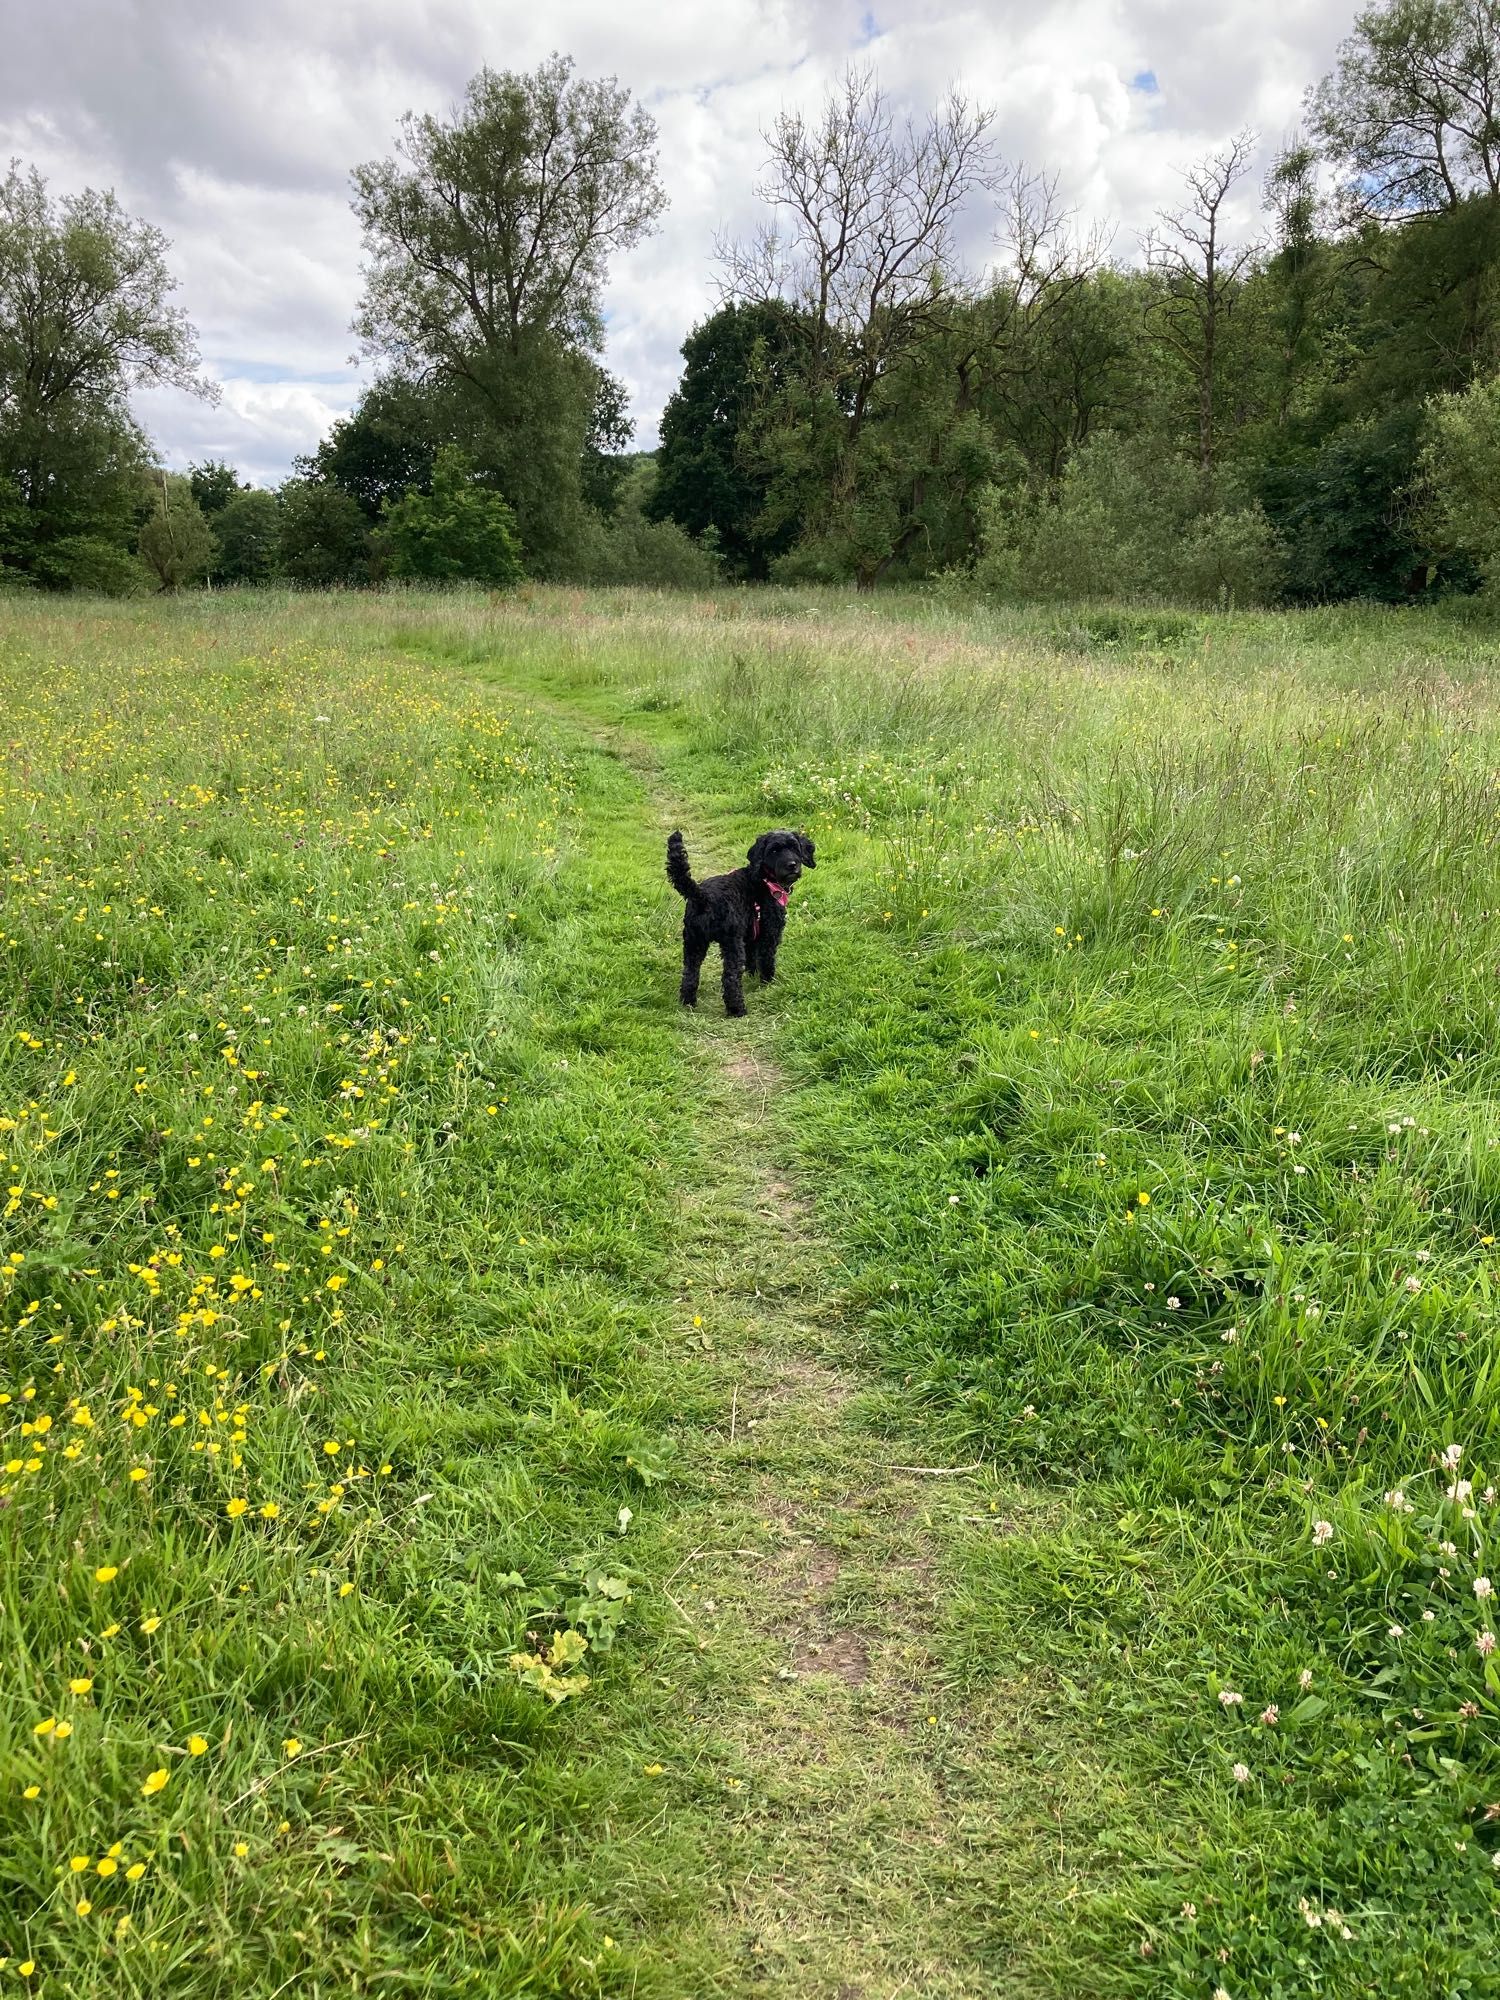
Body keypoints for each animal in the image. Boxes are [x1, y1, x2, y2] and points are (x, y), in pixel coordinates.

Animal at [664, 828, 816, 1016]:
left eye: (794, 847)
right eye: (774, 851)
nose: (792, 865)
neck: (763, 879)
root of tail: (703, 896)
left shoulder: (750, 936)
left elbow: (752, 959)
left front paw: (752, 975)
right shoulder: (769, 934)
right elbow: (766, 959)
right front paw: (767, 983)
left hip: (694, 942)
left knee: (690, 973)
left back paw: (688, 1003)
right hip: (731, 944)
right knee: (730, 978)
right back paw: (737, 1009)